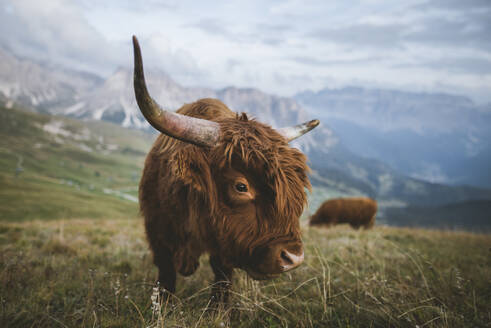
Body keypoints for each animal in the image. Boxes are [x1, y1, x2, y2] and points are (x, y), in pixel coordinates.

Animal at [133, 36, 320, 304]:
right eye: (241, 186)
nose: (293, 258)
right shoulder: (158, 236)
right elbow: (166, 278)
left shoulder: (224, 248)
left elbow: (222, 278)